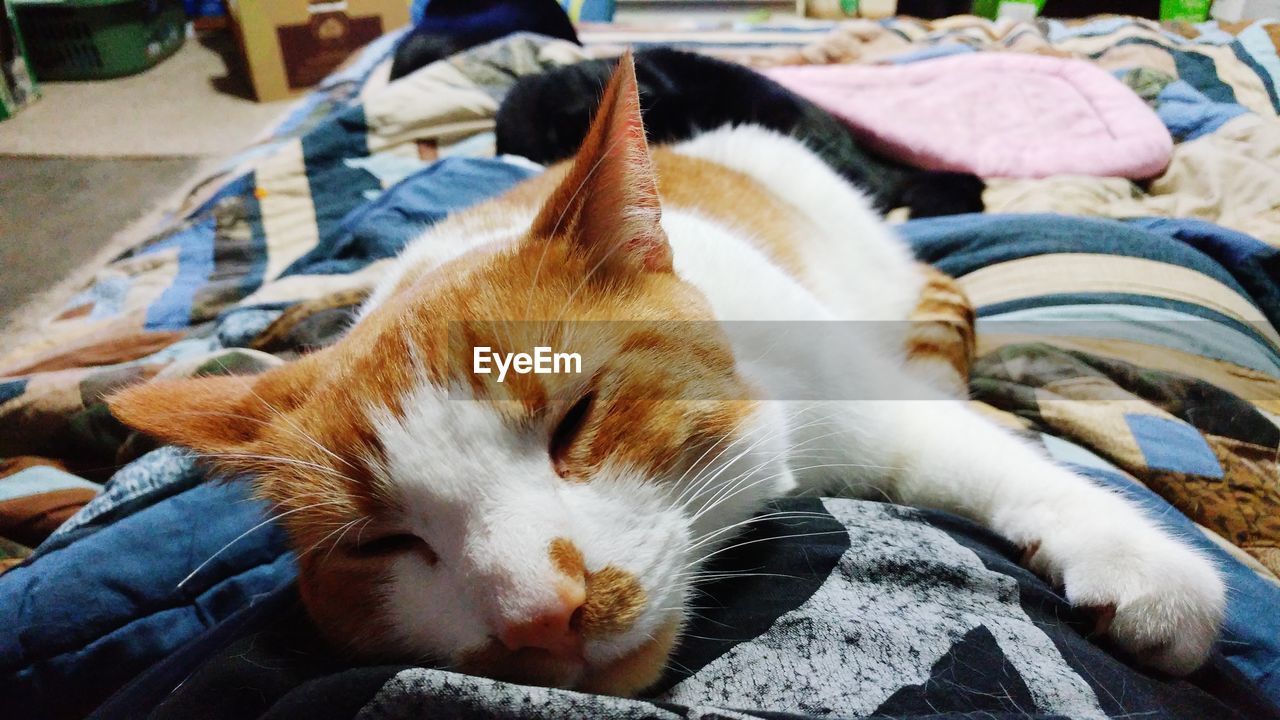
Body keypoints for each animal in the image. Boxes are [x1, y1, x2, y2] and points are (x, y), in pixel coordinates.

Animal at [112, 53, 1228, 691]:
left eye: (575, 419)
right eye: (381, 544)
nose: (537, 614)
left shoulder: (854, 395)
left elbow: (978, 455)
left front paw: (1145, 569)